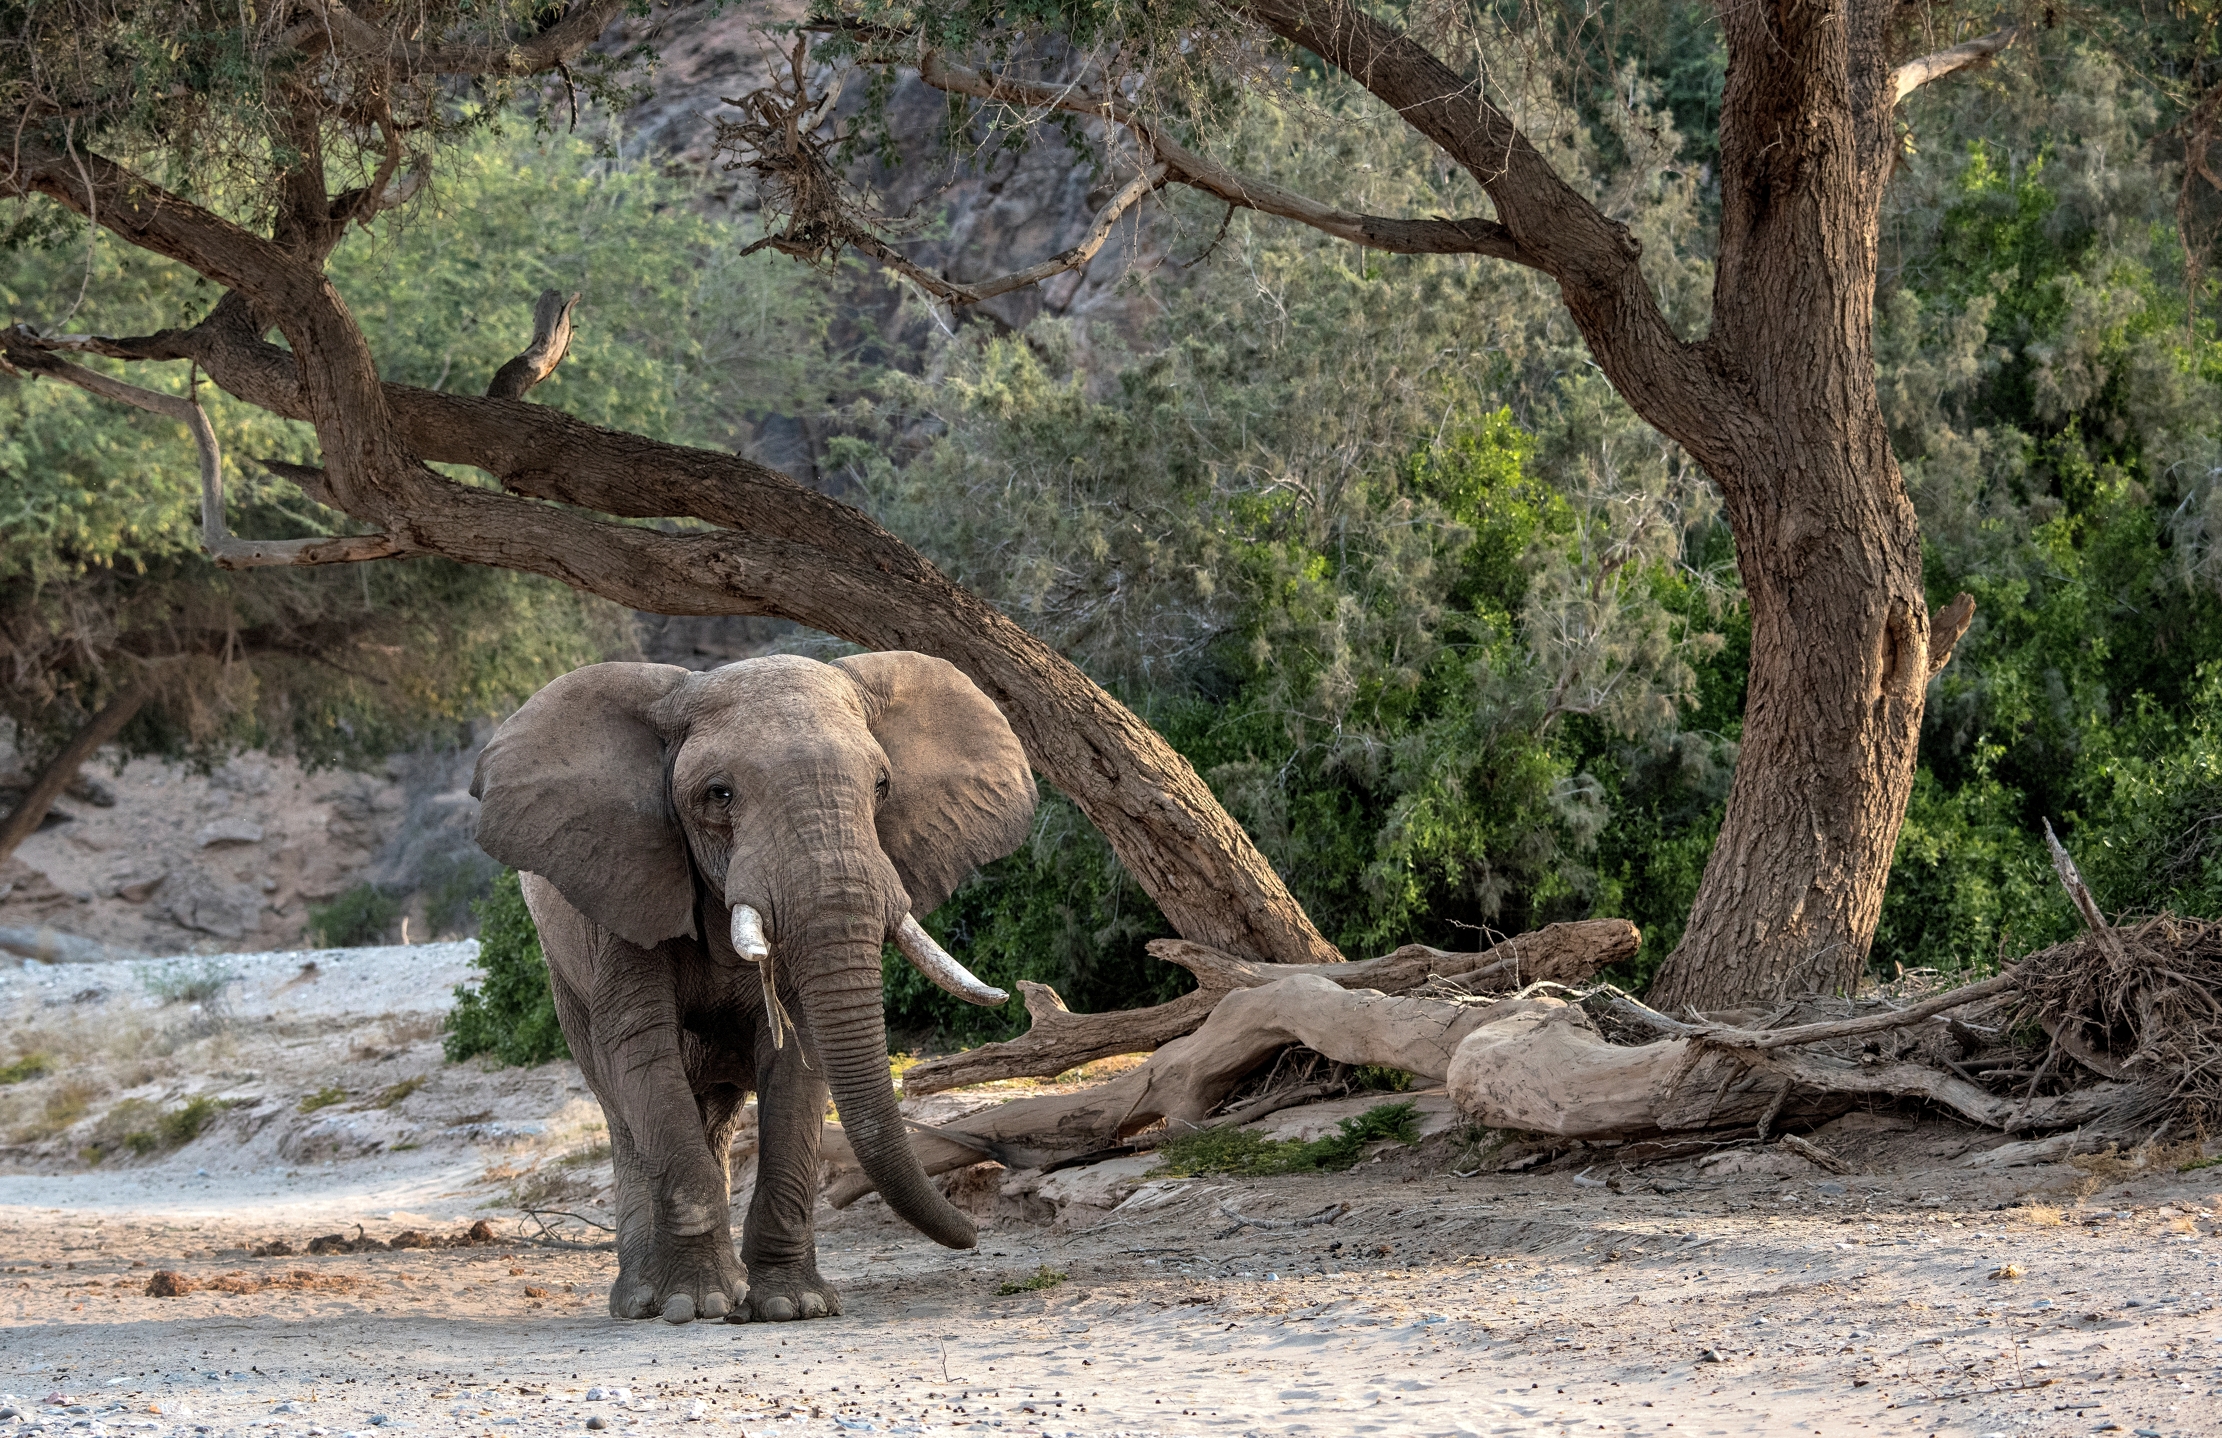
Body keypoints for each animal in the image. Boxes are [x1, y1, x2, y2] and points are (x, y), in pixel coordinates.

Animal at [469, 651, 1037, 1324]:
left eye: (881, 786)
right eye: (719, 795)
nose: (974, 1236)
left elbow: (799, 1057)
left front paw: (793, 1305)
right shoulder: (622, 891)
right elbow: (642, 1054)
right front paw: (697, 1302)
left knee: (711, 1112)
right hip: (565, 978)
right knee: (621, 1108)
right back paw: (642, 1298)